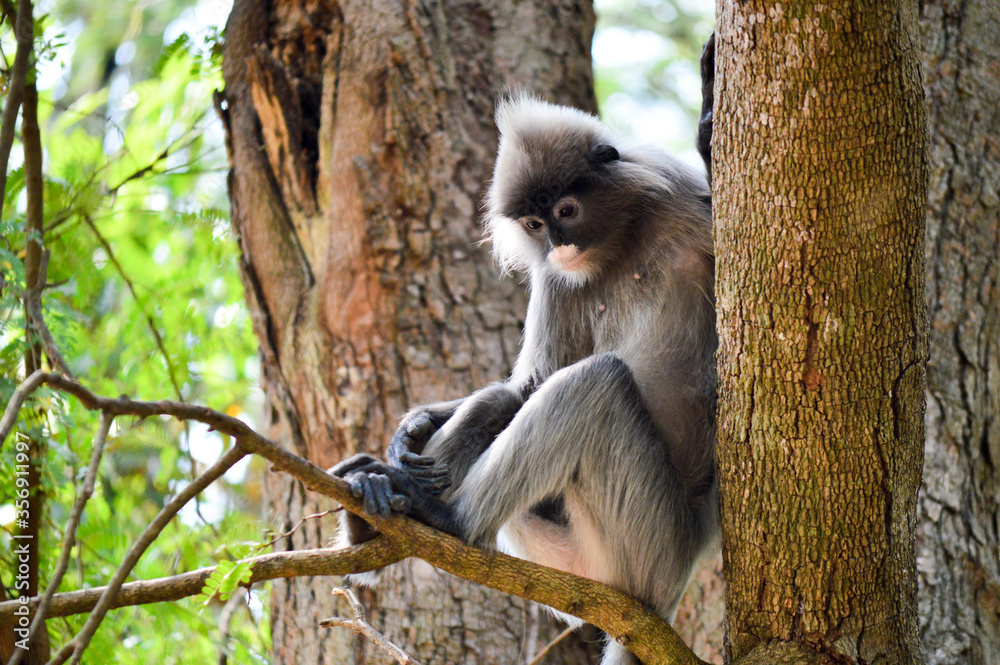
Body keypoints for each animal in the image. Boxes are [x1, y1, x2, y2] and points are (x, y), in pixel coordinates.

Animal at [331, 87, 717, 665]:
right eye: (534, 225)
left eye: (565, 211)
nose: (559, 244)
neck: (625, 238)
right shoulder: (556, 276)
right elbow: (527, 386)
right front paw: (415, 426)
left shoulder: (684, 199)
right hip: (579, 558)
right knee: (503, 402)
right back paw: (376, 511)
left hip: (650, 544)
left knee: (593, 382)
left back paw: (449, 520)